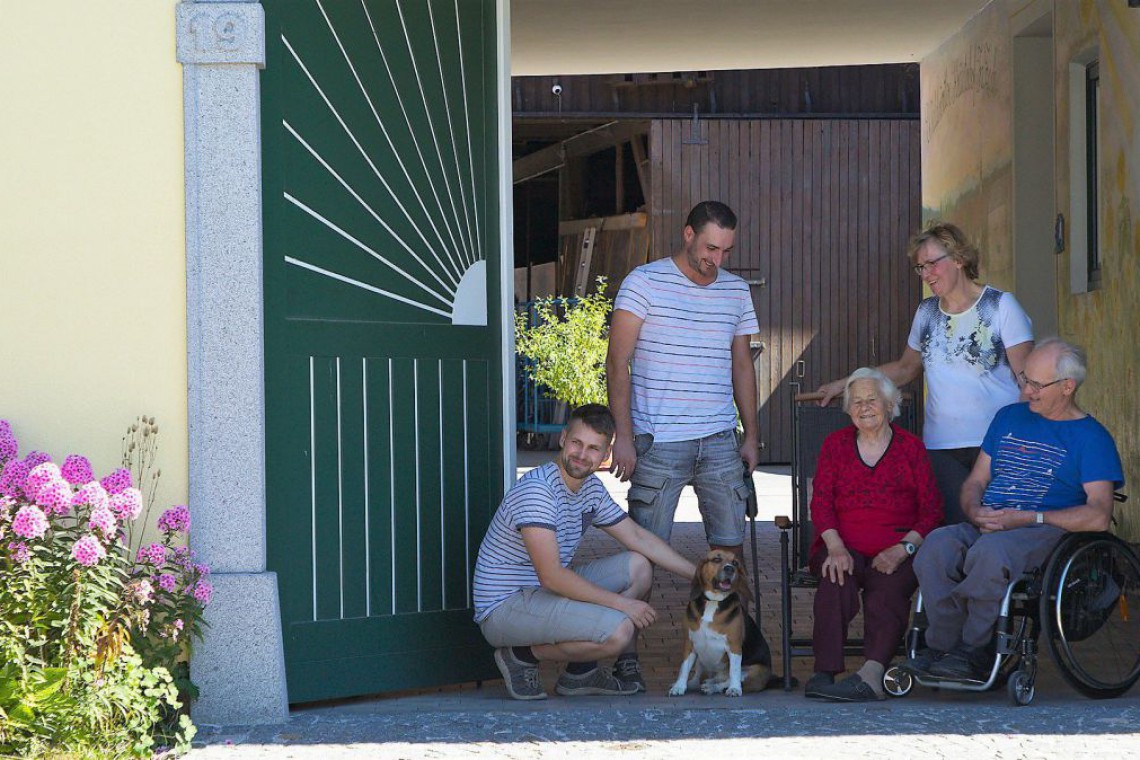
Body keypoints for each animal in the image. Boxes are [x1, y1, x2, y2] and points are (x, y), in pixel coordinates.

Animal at [665, 549, 775, 697]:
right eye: (716, 559)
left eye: (735, 563)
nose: (730, 568)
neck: (713, 601)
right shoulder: (689, 643)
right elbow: (684, 668)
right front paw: (679, 686)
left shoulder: (734, 646)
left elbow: (734, 672)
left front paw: (734, 689)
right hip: (701, 659)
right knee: (701, 678)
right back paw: (698, 684)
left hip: (755, 670)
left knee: (727, 680)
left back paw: (713, 687)